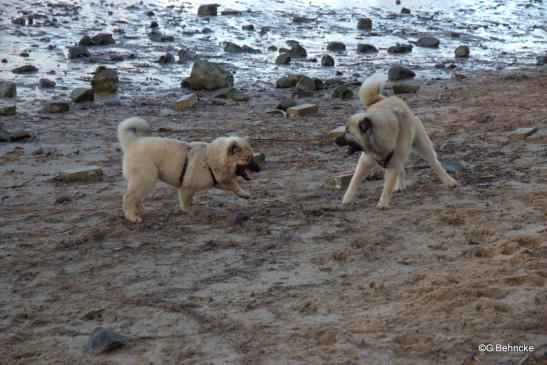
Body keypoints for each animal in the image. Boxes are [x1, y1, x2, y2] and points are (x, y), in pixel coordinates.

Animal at [117, 117, 262, 222]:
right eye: (247, 159)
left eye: (252, 156)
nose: (260, 168)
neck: (209, 158)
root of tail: (133, 143)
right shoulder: (186, 188)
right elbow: (185, 203)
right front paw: (188, 211)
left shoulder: (219, 180)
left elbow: (234, 185)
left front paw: (244, 194)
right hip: (146, 178)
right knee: (128, 197)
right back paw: (132, 217)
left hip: (144, 180)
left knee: (135, 197)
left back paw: (143, 211)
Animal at [334, 73, 458, 208]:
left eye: (348, 132)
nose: (335, 140)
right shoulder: (366, 162)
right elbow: (354, 180)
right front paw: (347, 198)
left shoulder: (393, 165)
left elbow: (387, 187)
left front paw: (383, 203)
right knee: (402, 169)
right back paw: (400, 185)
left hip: (422, 146)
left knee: (435, 164)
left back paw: (449, 181)